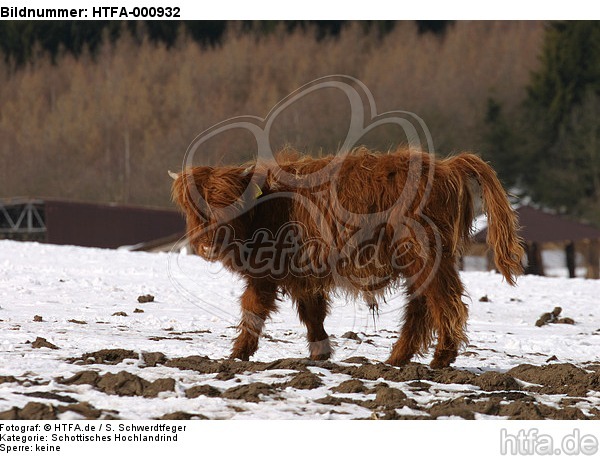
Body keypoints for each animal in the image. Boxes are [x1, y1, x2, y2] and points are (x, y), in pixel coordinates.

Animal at [171, 148, 524, 368]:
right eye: (197, 206)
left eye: (231, 201)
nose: (208, 245)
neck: (266, 208)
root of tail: (447, 165)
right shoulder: (304, 272)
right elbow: (312, 313)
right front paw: (320, 353)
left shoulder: (265, 272)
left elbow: (253, 309)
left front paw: (237, 354)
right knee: (421, 305)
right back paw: (397, 359)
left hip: (426, 255)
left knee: (444, 300)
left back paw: (441, 357)